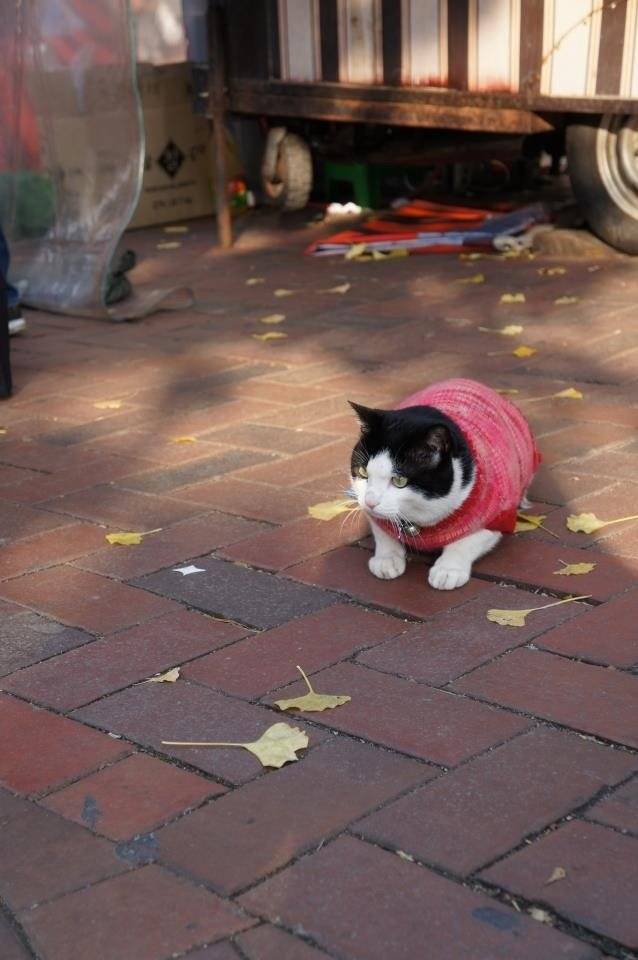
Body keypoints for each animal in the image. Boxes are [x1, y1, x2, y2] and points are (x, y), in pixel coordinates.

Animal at [349, 378, 541, 590]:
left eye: (399, 481)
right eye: (363, 472)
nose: (370, 502)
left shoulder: (499, 514)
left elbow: (467, 541)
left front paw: (448, 570)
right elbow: (381, 530)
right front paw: (387, 559)